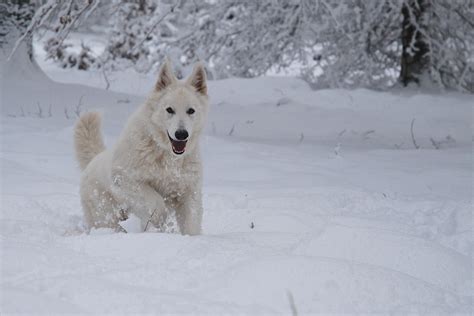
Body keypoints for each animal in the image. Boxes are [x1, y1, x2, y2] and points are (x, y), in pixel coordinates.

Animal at [74, 61, 207, 235]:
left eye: (191, 111)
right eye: (169, 109)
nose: (181, 134)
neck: (165, 154)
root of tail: (93, 160)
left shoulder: (189, 191)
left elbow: (191, 222)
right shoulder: (126, 179)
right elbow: (156, 203)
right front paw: (156, 226)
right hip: (106, 215)